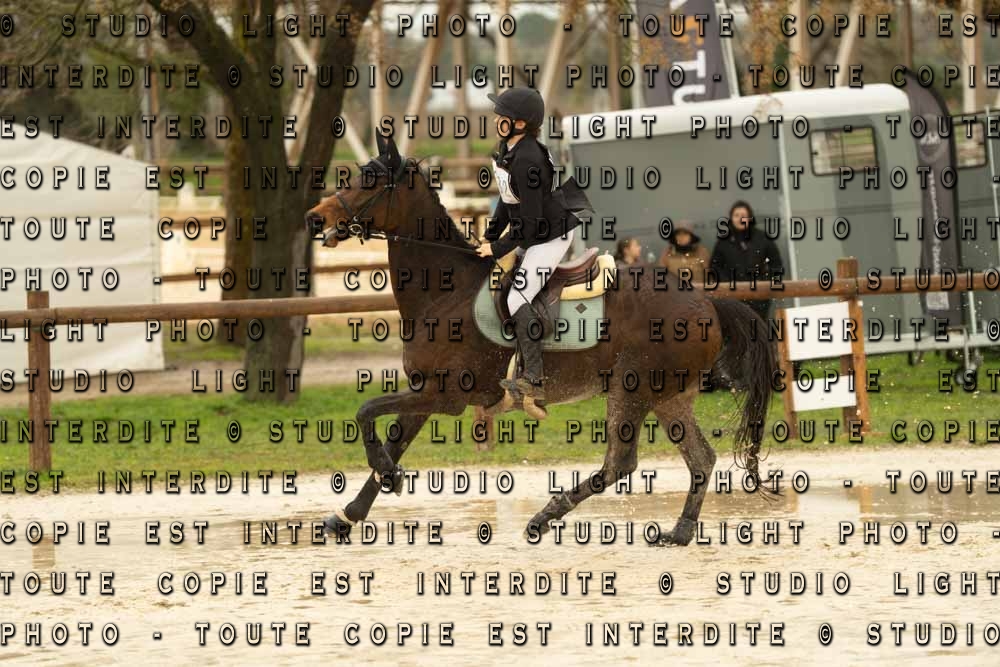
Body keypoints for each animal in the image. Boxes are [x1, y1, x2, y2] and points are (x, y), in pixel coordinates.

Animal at [305, 133, 776, 545]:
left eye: (369, 179)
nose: (314, 218)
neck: (444, 290)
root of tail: (706, 301)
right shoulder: (425, 390)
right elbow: (394, 438)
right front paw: (350, 513)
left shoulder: (447, 395)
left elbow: (366, 412)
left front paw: (386, 479)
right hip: (670, 396)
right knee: (700, 458)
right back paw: (678, 532)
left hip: (632, 388)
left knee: (620, 463)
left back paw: (544, 517)